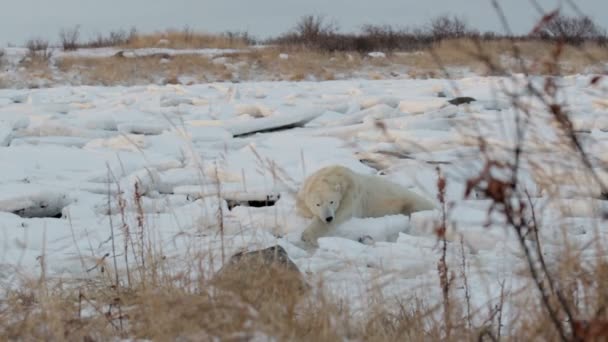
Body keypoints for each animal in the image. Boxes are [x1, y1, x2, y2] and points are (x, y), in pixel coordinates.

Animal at [296, 166, 434, 246]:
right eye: (317, 204)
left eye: (332, 201)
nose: (328, 218)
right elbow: (302, 208)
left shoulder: (351, 195)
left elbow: (341, 214)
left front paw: (308, 236)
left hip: (410, 202)